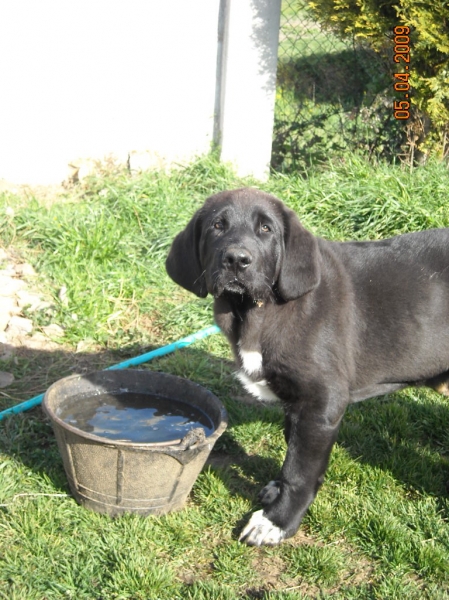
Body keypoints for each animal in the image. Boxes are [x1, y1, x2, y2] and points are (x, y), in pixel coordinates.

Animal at [164, 190, 448, 548]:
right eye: (217, 225)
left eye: (266, 229)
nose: (237, 260)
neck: (256, 312)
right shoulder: (296, 401)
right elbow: (293, 448)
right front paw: (276, 491)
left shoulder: (321, 403)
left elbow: (299, 470)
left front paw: (276, 522)